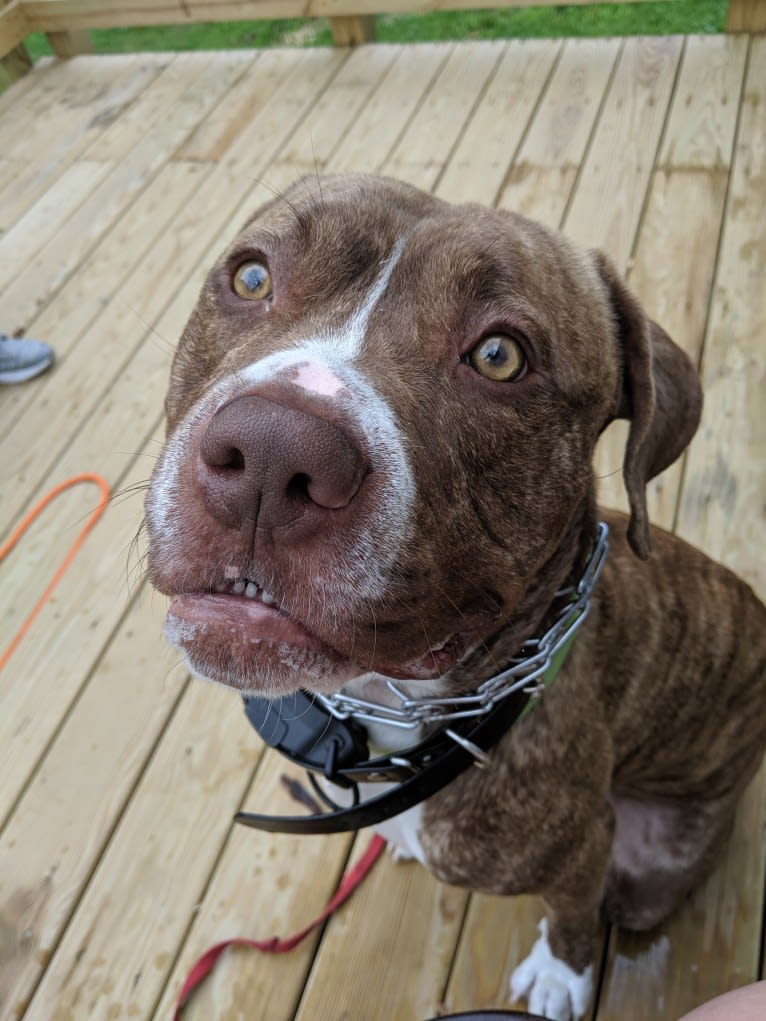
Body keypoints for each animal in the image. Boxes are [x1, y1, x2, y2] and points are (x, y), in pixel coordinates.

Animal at [144, 175, 766, 1021]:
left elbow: (572, 910)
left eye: (500, 356)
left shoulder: (583, 848)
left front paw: (560, 975)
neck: (401, 710)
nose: (272, 450)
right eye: (250, 277)